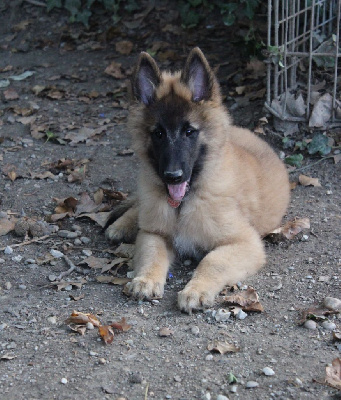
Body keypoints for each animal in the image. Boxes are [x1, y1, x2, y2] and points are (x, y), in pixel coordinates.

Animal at [105, 47, 288, 312]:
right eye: (158, 134)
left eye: (189, 131)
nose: (172, 177)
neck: (184, 202)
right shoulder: (154, 233)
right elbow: (152, 254)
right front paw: (146, 279)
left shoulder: (244, 243)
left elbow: (213, 261)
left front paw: (196, 290)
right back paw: (121, 225)